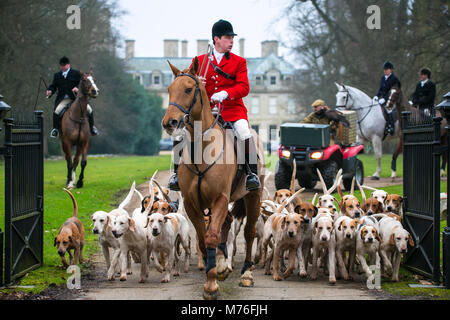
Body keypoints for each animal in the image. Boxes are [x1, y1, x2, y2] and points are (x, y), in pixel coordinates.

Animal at [163, 57, 266, 300]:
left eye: (188, 89)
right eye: (169, 89)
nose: (169, 122)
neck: (201, 149)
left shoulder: (220, 198)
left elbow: (211, 237)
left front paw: (211, 285)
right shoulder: (192, 203)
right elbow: (203, 240)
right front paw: (215, 271)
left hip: (253, 196)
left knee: (249, 232)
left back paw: (247, 273)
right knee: (227, 224)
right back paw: (222, 263)